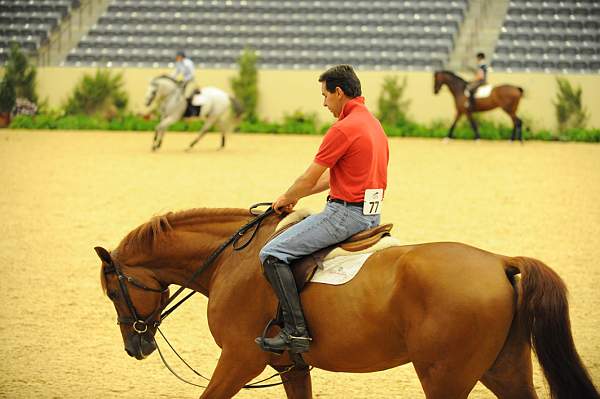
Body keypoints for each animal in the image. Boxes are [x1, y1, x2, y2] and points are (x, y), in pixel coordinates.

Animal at [96, 208, 596, 398]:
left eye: (113, 291)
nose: (135, 346)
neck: (229, 261)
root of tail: (499, 262)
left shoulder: (239, 360)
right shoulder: (290, 367)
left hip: (447, 376)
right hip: (503, 367)